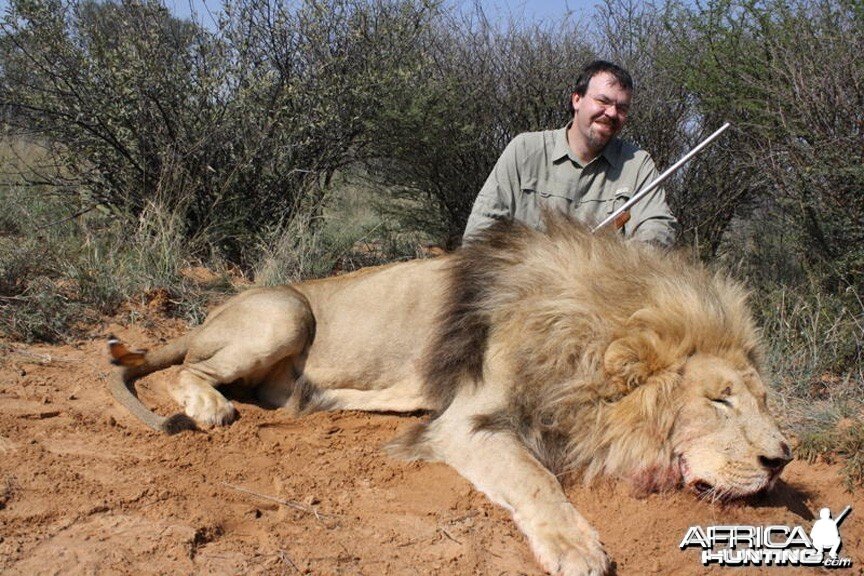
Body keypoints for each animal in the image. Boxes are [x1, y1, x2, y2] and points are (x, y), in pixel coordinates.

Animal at [108, 215, 788, 576]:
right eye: (720, 401)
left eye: (760, 401)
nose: (781, 460)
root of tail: (210, 313)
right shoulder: (470, 421)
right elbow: (537, 478)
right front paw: (576, 548)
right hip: (286, 311)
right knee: (185, 369)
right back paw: (210, 407)